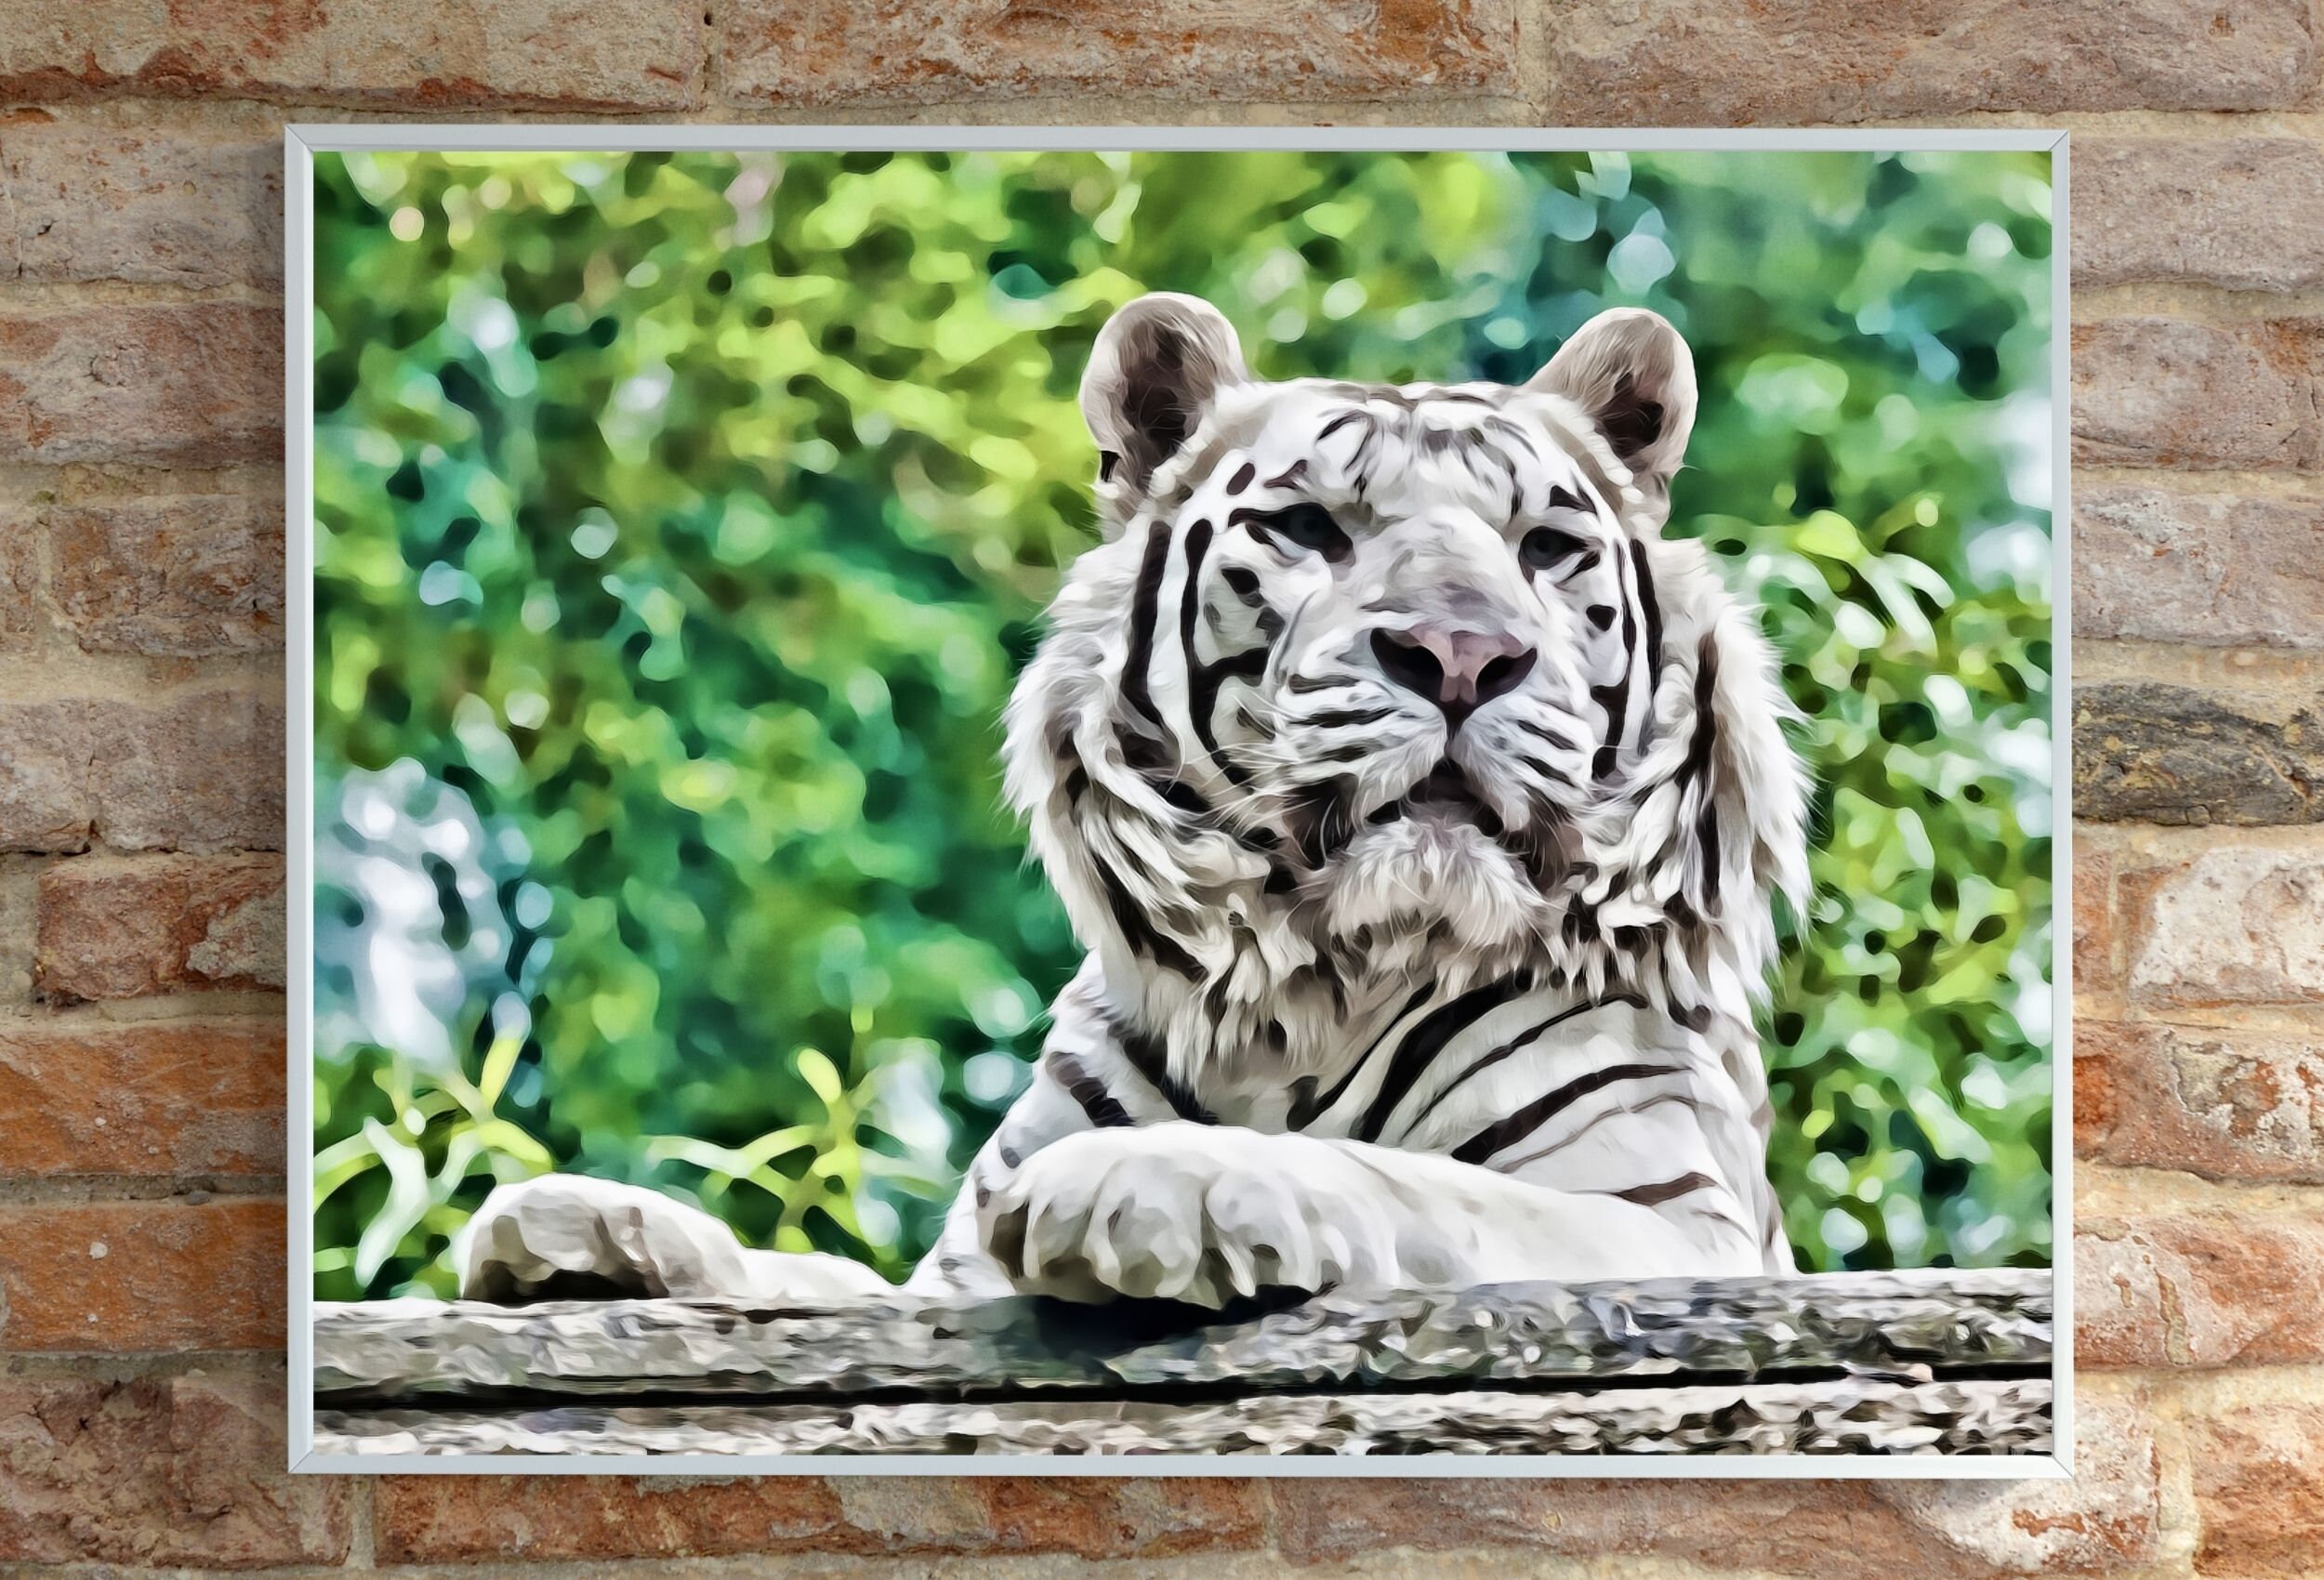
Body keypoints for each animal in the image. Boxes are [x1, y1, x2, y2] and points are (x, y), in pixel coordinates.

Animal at [459, 292, 1811, 1310]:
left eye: (1545, 548)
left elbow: (1412, 1184)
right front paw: (588, 1226)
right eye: (1309, 527)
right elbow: (819, 1278)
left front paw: (1156, 1179)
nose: (1460, 656)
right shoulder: (947, 1283)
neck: (1311, 993)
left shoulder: (1667, 1221)